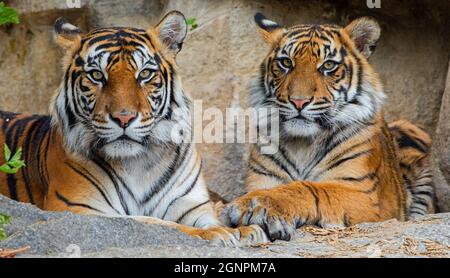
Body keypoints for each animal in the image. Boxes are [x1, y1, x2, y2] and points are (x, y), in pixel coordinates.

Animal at [0, 10, 268, 247]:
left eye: (145, 73)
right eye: (97, 75)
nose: (124, 118)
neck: (139, 163)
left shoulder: (191, 205)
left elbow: (206, 218)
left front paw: (244, 230)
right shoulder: (78, 208)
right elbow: (157, 224)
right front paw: (219, 234)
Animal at [220, 13, 434, 241]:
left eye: (328, 65)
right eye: (286, 62)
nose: (298, 101)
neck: (302, 143)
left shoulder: (364, 193)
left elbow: (313, 189)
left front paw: (259, 205)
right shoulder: (261, 180)